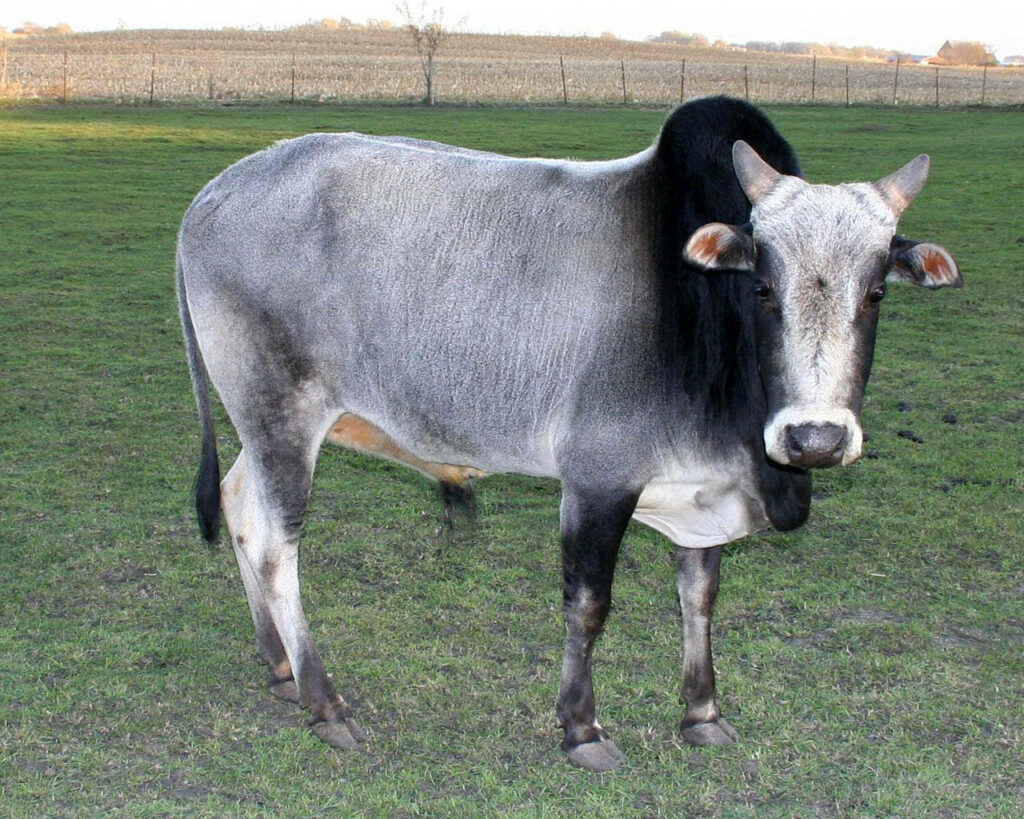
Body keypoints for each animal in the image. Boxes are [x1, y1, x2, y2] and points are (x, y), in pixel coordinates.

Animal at [176, 97, 961, 771]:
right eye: (764, 287)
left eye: (877, 291)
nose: (814, 439)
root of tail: (212, 195)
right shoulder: (598, 479)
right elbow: (588, 604)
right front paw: (581, 726)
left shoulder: (700, 488)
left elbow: (699, 593)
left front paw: (701, 712)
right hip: (281, 416)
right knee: (277, 548)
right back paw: (323, 700)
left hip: (262, 427)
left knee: (239, 508)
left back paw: (278, 664)